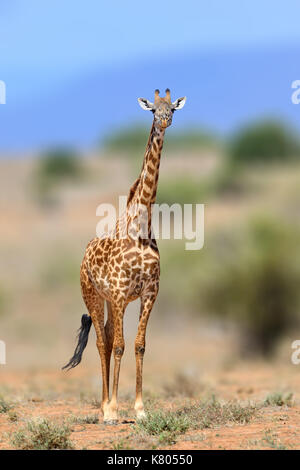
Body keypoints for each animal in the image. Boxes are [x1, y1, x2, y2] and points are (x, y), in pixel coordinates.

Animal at [63, 89, 185, 426]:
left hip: (109, 301)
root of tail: (84, 255)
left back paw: (107, 405)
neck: (140, 227)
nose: (164, 121)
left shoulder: (149, 292)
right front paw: (115, 410)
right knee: (102, 341)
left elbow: (140, 345)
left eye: (172, 108)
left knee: (106, 337)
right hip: (92, 294)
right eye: (153, 110)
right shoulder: (119, 294)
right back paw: (105, 408)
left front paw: (140, 410)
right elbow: (118, 345)